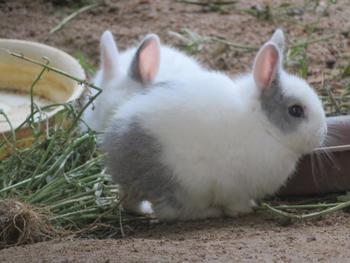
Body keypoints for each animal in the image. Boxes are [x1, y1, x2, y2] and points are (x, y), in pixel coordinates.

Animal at [102, 29, 326, 222]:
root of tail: (119, 162)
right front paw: (245, 210)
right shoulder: (234, 187)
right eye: (296, 110)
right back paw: (210, 212)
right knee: (170, 212)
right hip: (185, 186)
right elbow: (235, 203)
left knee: (130, 203)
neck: (263, 124)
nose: (322, 133)